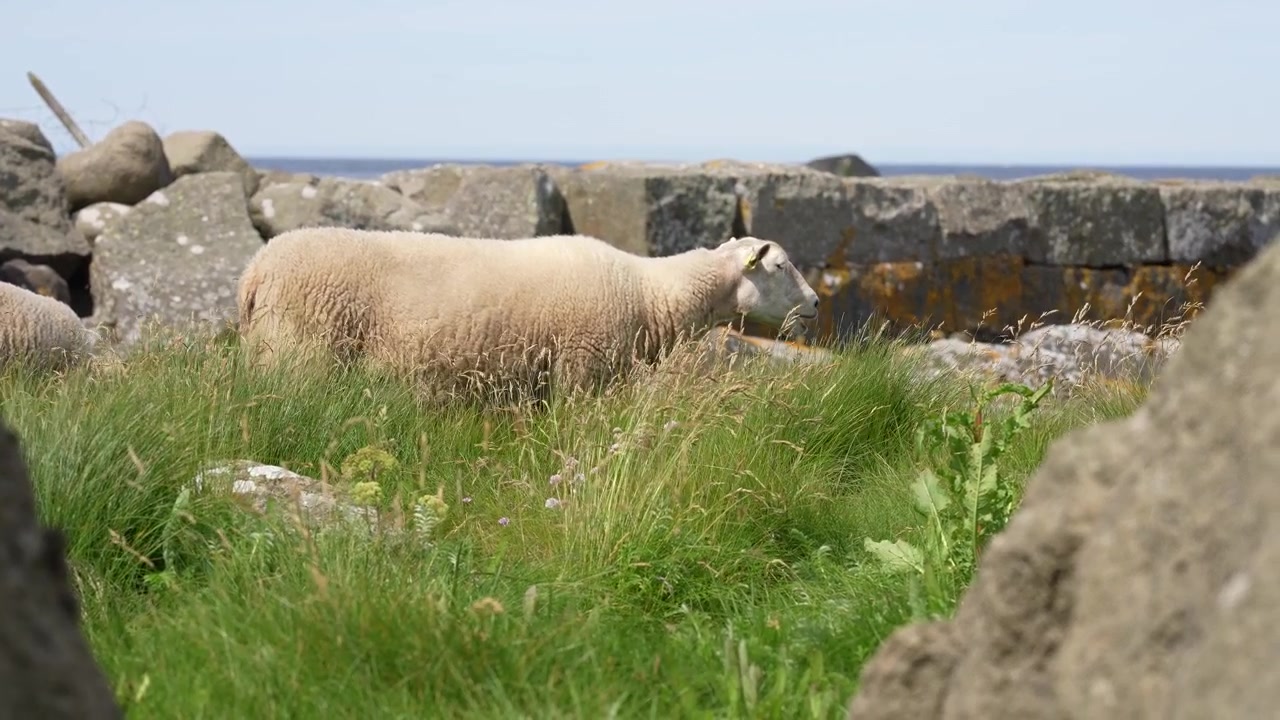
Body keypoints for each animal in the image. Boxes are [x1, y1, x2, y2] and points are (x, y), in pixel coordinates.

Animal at [236, 227, 821, 404]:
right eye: (781, 266)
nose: (817, 303)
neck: (649, 291)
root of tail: (255, 269)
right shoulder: (581, 367)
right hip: (297, 349)